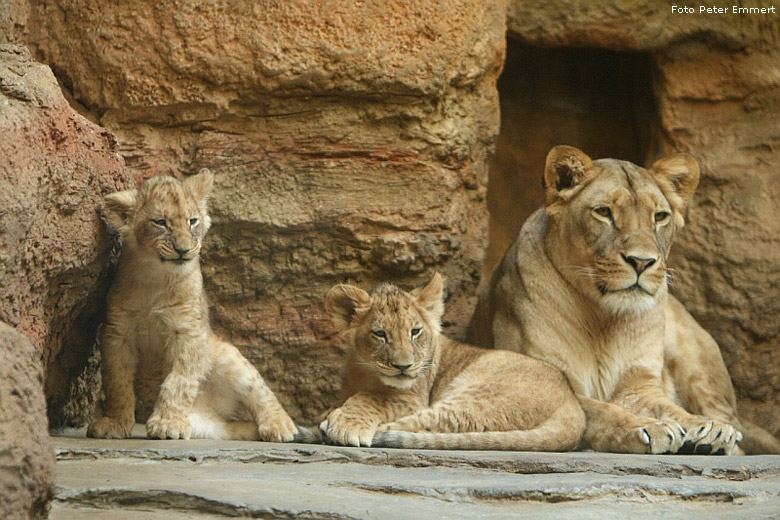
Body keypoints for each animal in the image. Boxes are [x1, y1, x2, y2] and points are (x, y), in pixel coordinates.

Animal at [470, 146, 780, 456]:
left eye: (660, 216)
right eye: (604, 212)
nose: (641, 262)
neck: (602, 317)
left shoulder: (638, 386)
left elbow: (672, 409)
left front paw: (706, 428)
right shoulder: (548, 379)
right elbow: (601, 411)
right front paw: (648, 428)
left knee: (735, 431)